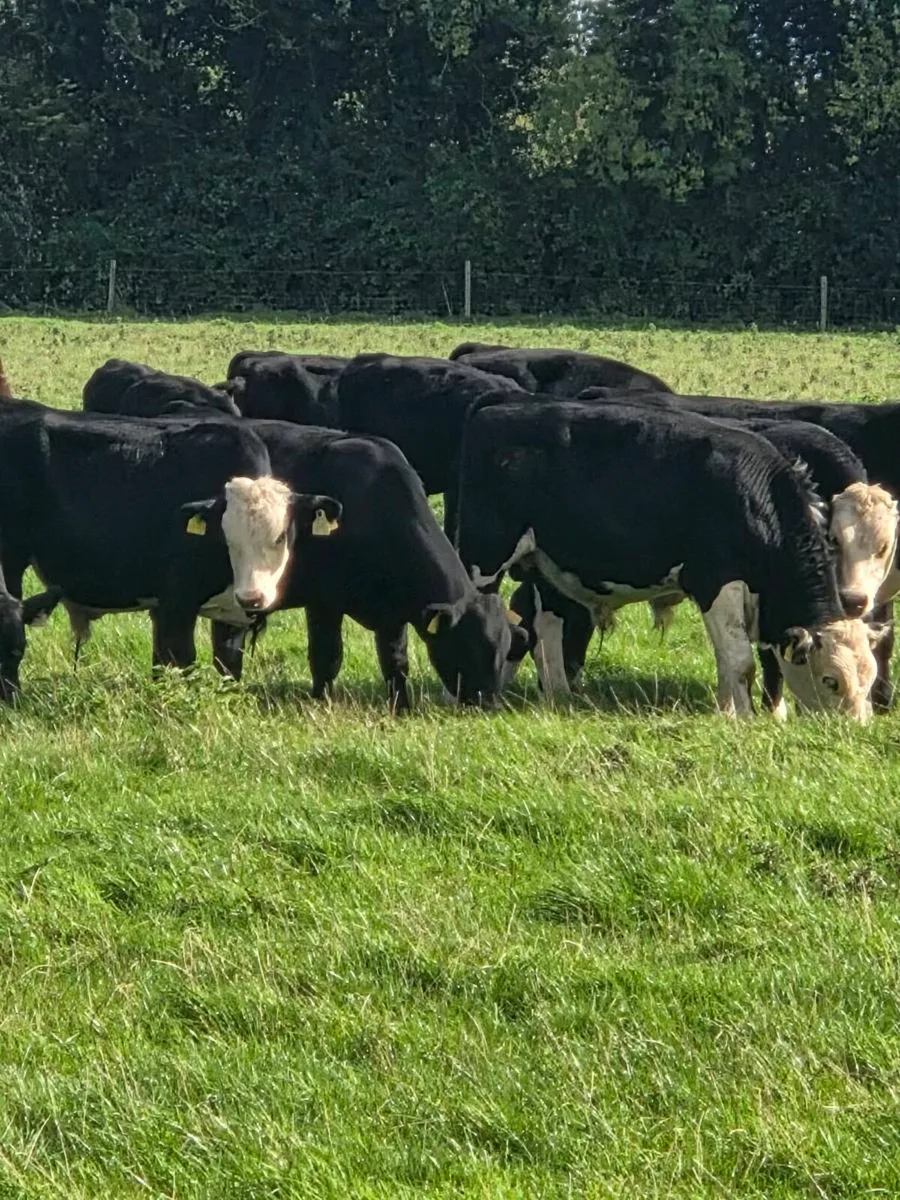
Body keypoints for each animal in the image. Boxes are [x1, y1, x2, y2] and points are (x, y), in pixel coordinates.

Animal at [0, 400, 339, 680]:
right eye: (228, 539)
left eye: (280, 536)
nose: (252, 598)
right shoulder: (175, 604)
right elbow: (178, 662)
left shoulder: (230, 617)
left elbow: (228, 666)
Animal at [206, 422, 529, 710]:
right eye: (468, 646)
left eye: (502, 653)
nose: (488, 703)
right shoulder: (323, 603)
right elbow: (327, 657)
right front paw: (321, 703)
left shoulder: (392, 615)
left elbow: (396, 662)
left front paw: (401, 707)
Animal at [456, 400, 884, 721]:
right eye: (831, 680)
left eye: (869, 678)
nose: (855, 730)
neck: (756, 500)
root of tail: (492, 413)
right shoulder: (715, 581)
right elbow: (740, 661)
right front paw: (744, 720)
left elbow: (727, 659)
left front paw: (728, 712)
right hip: (484, 556)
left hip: (548, 562)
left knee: (548, 625)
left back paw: (559, 695)